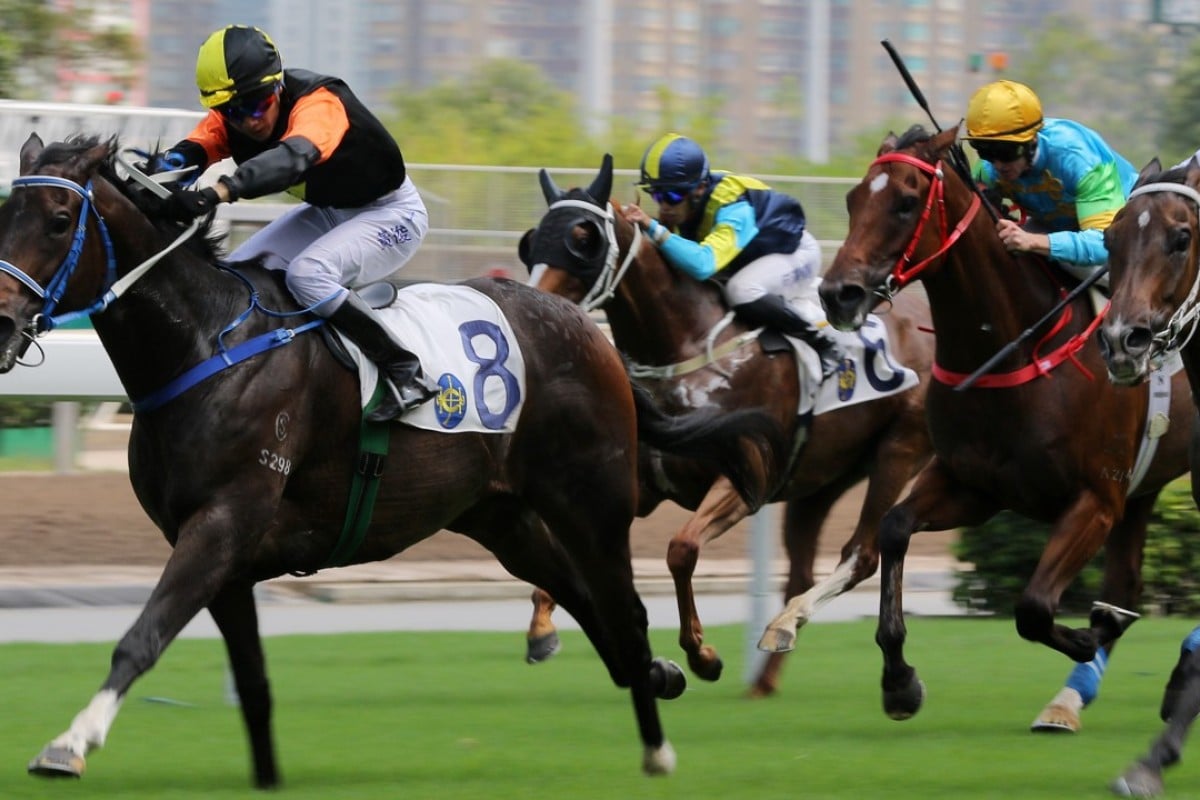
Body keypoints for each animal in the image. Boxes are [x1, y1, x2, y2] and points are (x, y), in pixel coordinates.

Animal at [0, 134, 777, 786]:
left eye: (61, 218)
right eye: (7, 208)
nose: (4, 319)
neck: (206, 344)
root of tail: (592, 334)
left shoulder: (222, 524)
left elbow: (141, 638)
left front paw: (68, 743)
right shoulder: (223, 557)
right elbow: (252, 685)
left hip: (592, 505)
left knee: (624, 612)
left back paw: (658, 742)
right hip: (504, 519)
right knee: (588, 606)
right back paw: (661, 675)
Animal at [523, 154, 936, 695]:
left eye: (583, 238)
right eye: (533, 239)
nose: (531, 305)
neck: (687, 346)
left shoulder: (744, 481)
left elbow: (681, 549)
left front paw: (703, 655)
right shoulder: (643, 483)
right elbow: (578, 552)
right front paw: (541, 629)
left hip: (899, 449)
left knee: (864, 551)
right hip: (820, 481)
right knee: (801, 570)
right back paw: (767, 669)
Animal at [801, 125, 1195, 734]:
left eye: (906, 202)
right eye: (852, 199)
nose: (837, 293)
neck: (1011, 347)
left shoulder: (1095, 498)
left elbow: (1033, 607)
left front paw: (1086, 635)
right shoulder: (977, 485)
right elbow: (892, 529)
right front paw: (899, 682)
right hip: (1144, 486)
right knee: (1124, 585)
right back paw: (1075, 697)